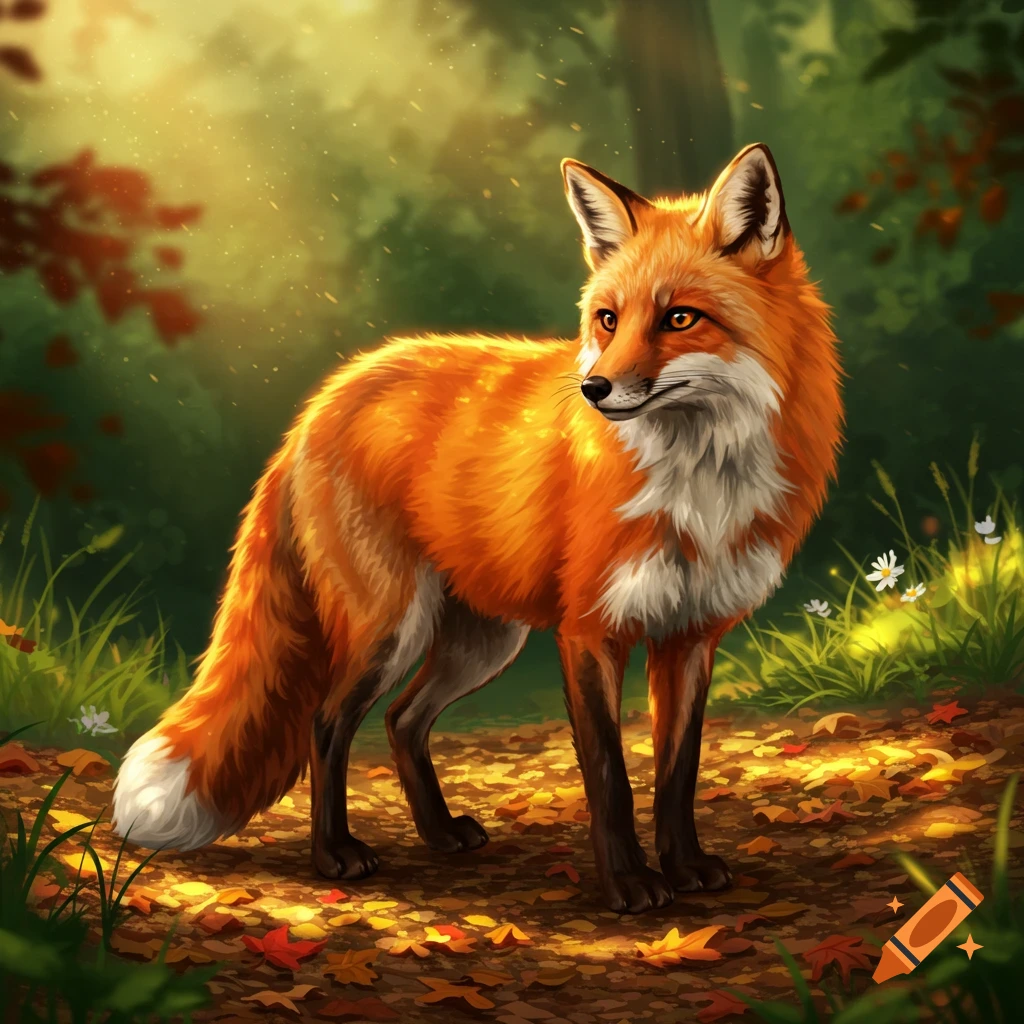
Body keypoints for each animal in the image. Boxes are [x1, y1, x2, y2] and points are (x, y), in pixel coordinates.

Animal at [111, 143, 842, 914]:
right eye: (608, 320)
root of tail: (324, 396)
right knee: (328, 722)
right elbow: (610, 778)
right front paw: (628, 884)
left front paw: (685, 867)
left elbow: (678, 774)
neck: (697, 481)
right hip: (392, 628)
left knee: (403, 720)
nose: (594, 390)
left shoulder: (690, 635)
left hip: (483, 641)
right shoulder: (590, 631)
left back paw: (438, 834)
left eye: (679, 318)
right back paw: (335, 853)